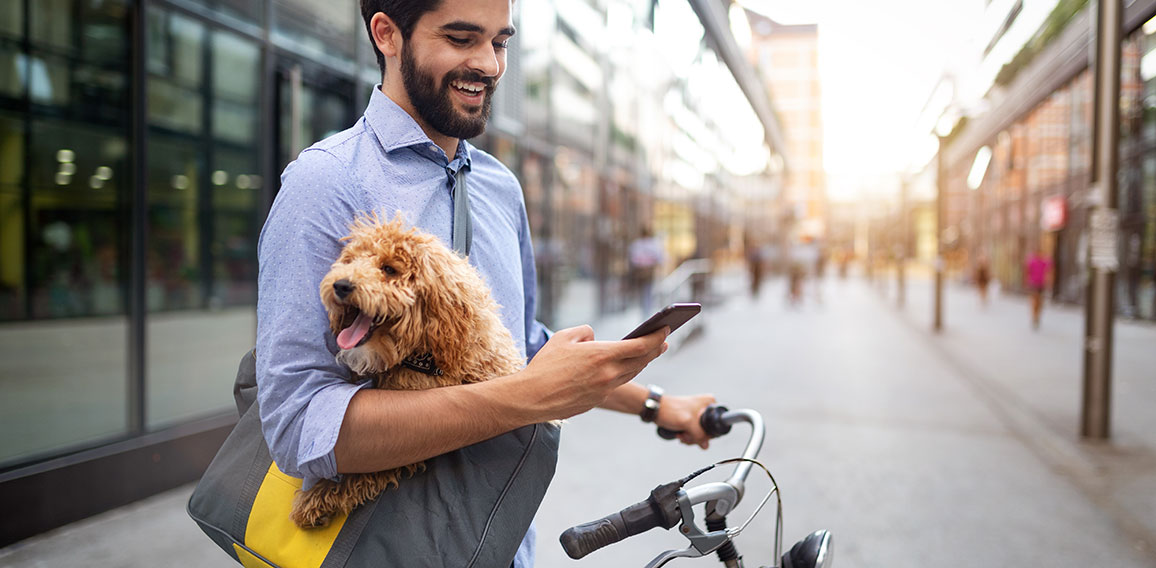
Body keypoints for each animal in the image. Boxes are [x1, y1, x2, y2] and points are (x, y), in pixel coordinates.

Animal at [286, 214, 527, 529]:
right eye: (350, 260)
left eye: (389, 269)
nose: (340, 285)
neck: (425, 354)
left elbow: (369, 468)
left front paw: (317, 499)